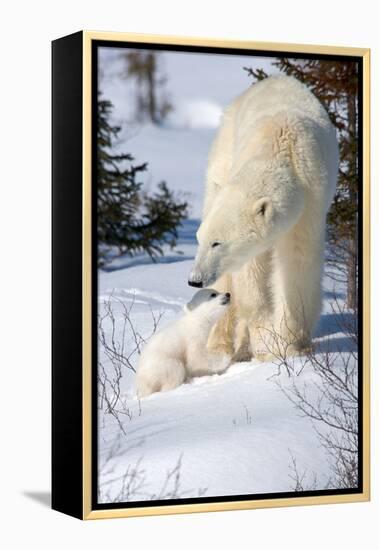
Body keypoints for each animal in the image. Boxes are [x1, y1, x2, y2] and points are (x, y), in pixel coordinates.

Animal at [189, 76, 340, 362]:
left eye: (217, 242)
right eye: (199, 239)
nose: (194, 279)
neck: (282, 146)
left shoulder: (311, 202)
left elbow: (297, 264)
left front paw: (290, 344)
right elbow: (251, 274)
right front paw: (266, 342)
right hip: (223, 153)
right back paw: (221, 346)